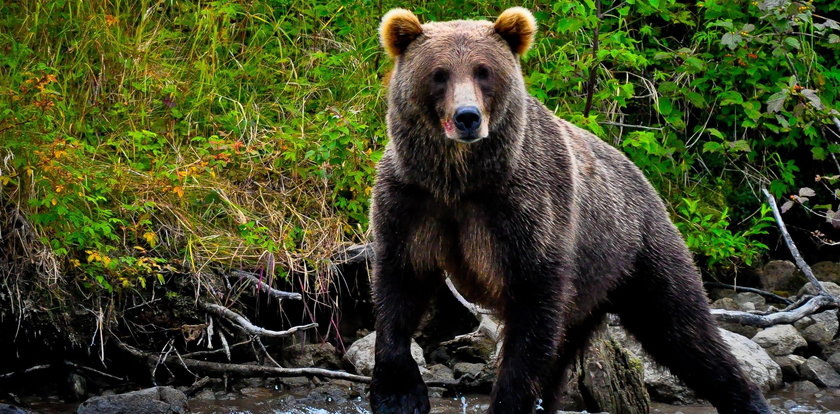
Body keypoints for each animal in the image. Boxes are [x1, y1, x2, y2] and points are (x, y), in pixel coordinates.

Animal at [366, 7, 768, 414]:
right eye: (439, 73)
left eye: (484, 71)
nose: (468, 116)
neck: (459, 180)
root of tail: (644, 178)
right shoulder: (412, 201)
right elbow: (399, 285)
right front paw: (399, 394)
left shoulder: (526, 212)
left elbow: (531, 318)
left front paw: (508, 400)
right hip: (592, 283)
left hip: (638, 251)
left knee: (681, 328)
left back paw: (747, 397)